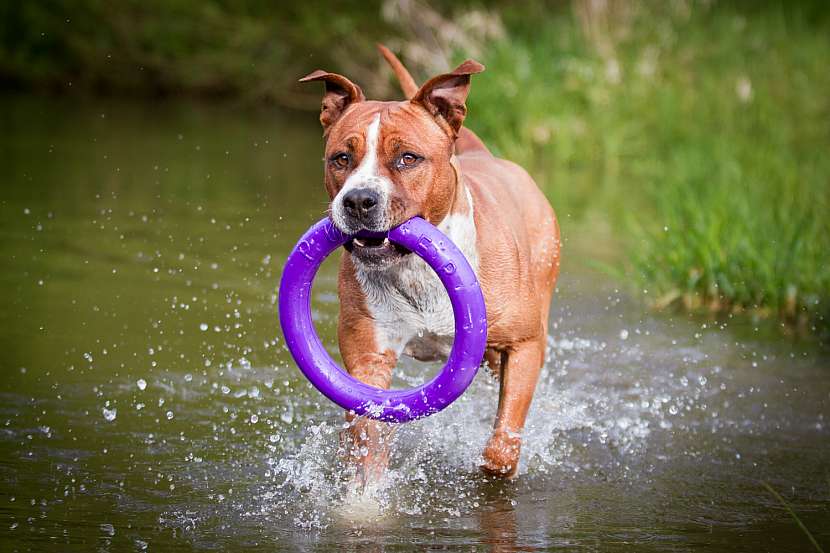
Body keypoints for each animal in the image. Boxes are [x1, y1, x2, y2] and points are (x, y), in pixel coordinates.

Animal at [300, 45, 560, 480]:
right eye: (341, 158)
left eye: (408, 158)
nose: (358, 200)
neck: (414, 270)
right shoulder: (368, 357)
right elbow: (367, 437)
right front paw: (364, 493)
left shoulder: (524, 345)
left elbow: (502, 447)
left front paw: (495, 461)